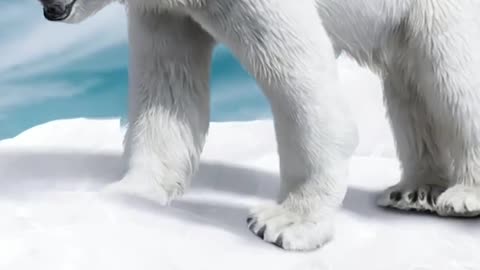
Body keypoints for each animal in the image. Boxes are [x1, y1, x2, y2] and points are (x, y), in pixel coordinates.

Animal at [37, 0, 480, 251]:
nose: (48, 9)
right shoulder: (164, 13)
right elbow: (167, 87)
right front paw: (126, 192)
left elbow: (299, 75)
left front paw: (286, 223)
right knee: (411, 81)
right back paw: (415, 191)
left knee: (452, 70)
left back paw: (463, 197)